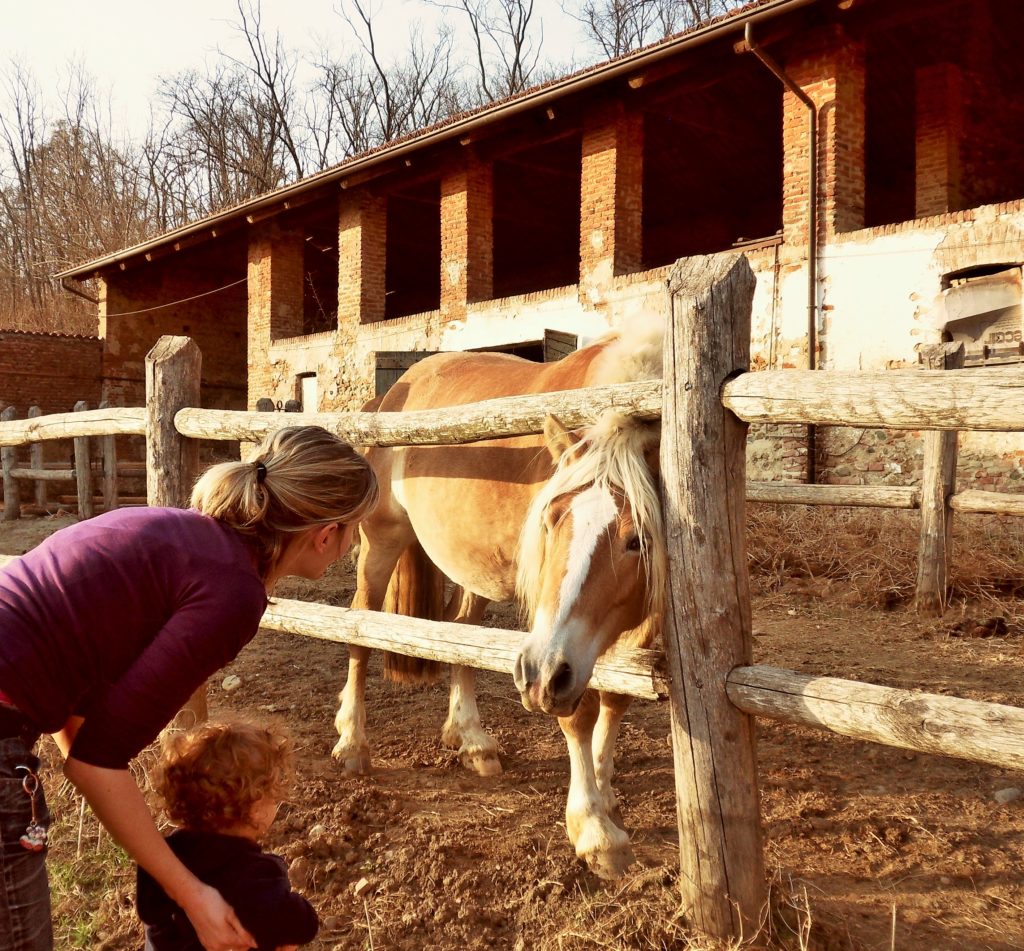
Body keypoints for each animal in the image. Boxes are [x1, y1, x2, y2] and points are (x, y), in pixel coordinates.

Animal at [331, 319, 667, 876]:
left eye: (637, 539)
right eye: (550, 519)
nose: (537, 675)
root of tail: (393, 393)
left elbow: (617, 697)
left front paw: (606, 788)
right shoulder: (553, 638)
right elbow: (577, 713)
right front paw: (593, 826)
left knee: (460, 633)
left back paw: (470, 739)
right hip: (381, 542)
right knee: (361, 627)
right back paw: (352, 742)